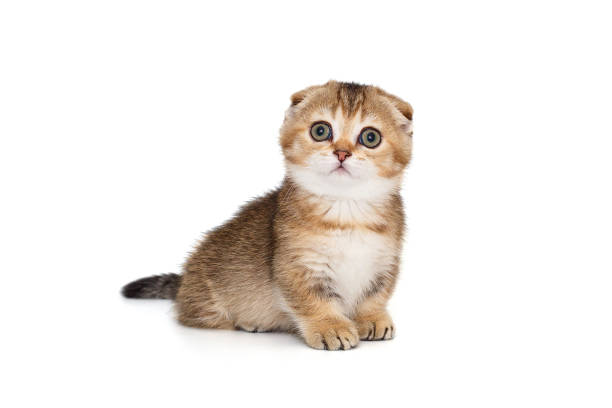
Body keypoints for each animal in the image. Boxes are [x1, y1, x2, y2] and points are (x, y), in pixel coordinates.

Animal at [122, 80, 414, 350]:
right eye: (321, 130)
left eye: (370, 137)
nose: (341, 153)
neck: (347, 212)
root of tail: (184, 282)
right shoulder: (295, 265)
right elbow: (311, 300)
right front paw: (330, 326)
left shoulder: (386, 263)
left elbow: (375, 296)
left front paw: (372, 318)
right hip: (208, 303)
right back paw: (249, 321)